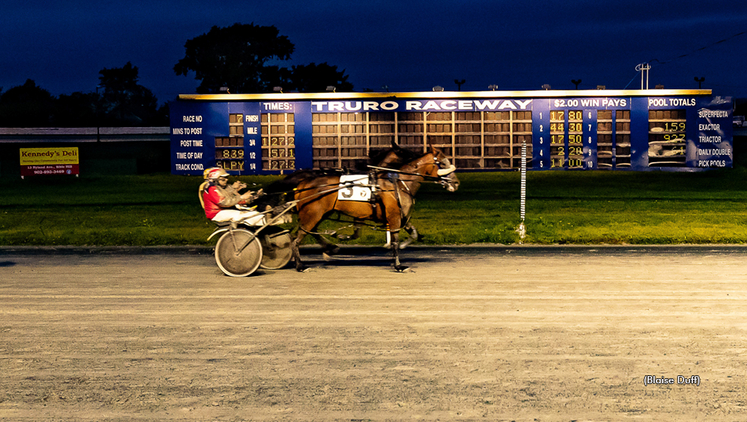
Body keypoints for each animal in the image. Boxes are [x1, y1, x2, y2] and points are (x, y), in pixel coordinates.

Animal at [294, 146, 462, 270]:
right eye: (443, 163)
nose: (456, 183)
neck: (399, 183)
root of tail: (303, 184)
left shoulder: (401, 216)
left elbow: (412, 234)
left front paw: (403, 246)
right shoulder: (393, 217)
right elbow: (394, 240)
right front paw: (398, 265)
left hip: (319, 214)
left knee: (311, 231)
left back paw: (329, 249)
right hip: (313, 214)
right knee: (297, 238)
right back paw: (300, 265)